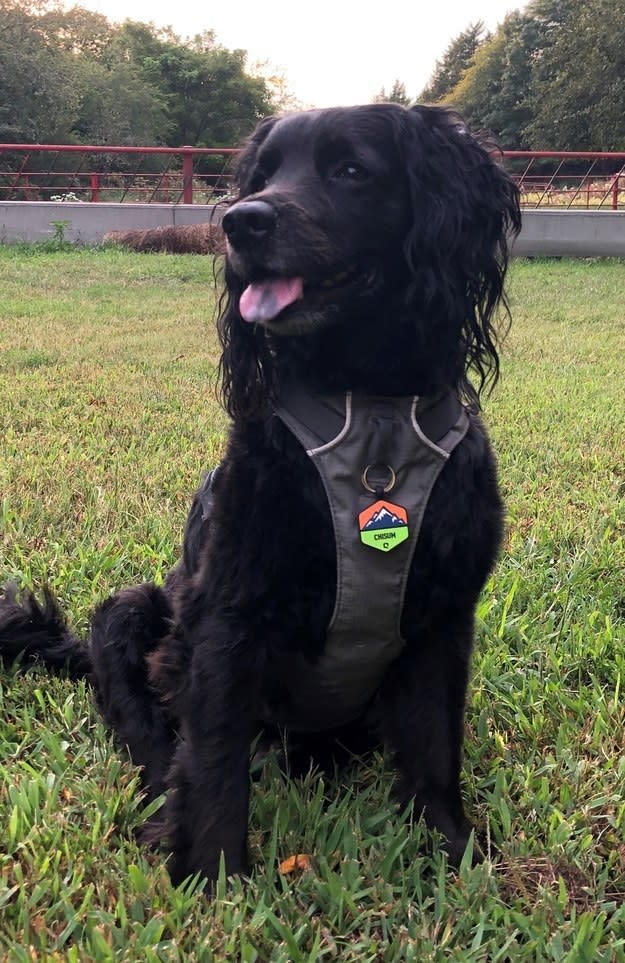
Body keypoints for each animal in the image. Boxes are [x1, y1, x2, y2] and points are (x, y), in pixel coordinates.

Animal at [0, 103, 520, 880]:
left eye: (350, 169)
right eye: (262, 176)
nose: (241, 224)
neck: (371, 413)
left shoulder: (444, 615)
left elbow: (435, 747)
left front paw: (451, 853)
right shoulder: (227, 613)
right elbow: (214, 759)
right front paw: (213, 877)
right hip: (129, 613)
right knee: (157, 742)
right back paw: (162, 813)